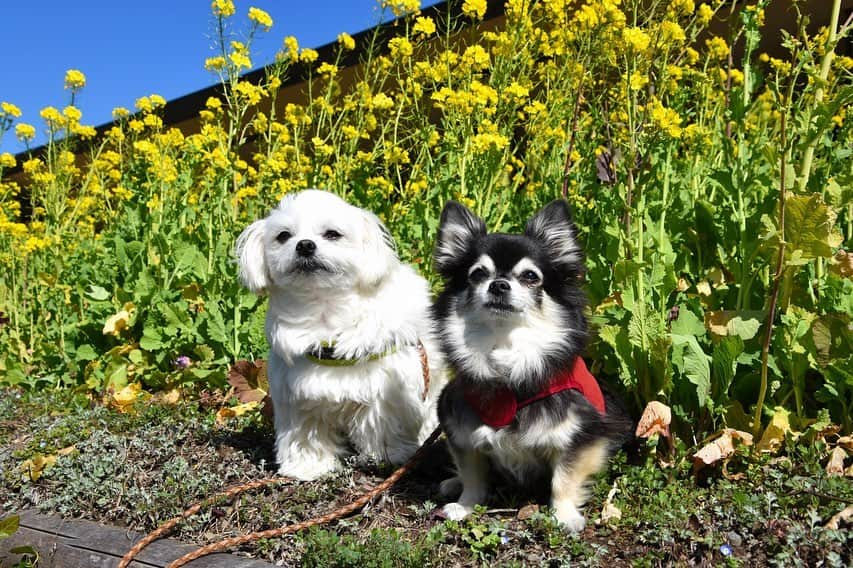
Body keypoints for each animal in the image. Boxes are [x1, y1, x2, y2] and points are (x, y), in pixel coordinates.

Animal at [235, 191, 446, 480]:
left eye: (332, 234)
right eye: (283, 236)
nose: (305, 245)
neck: (326, 311)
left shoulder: (383, 391)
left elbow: (382, 427)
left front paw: (385, 458)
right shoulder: (300, 394)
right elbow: (306, 433)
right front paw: (308, 467)